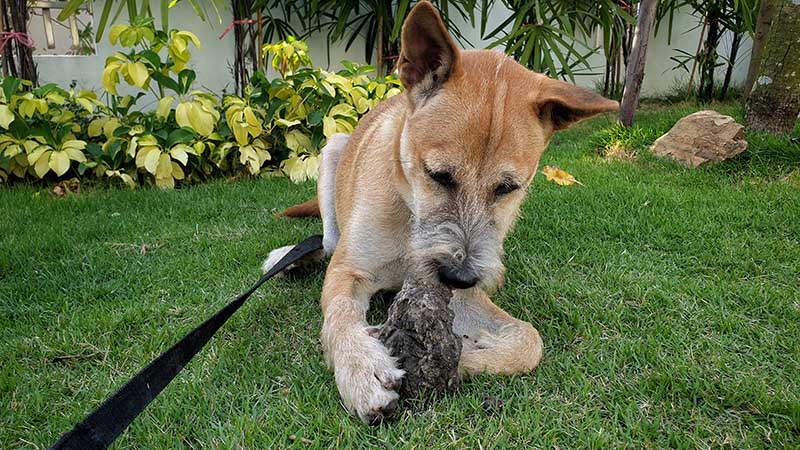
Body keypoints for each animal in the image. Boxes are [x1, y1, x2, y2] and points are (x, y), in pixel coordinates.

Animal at [264, 0, 620, 422]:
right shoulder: (350, 270)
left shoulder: (459, 296)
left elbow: (529, 340)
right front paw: (361, 367)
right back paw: (290, 257)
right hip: (332, 150)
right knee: (327, 241)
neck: (410, 216)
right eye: (438, 175)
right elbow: (340, 314)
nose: (459, 275)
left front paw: (466, 356)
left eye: (508, 188)